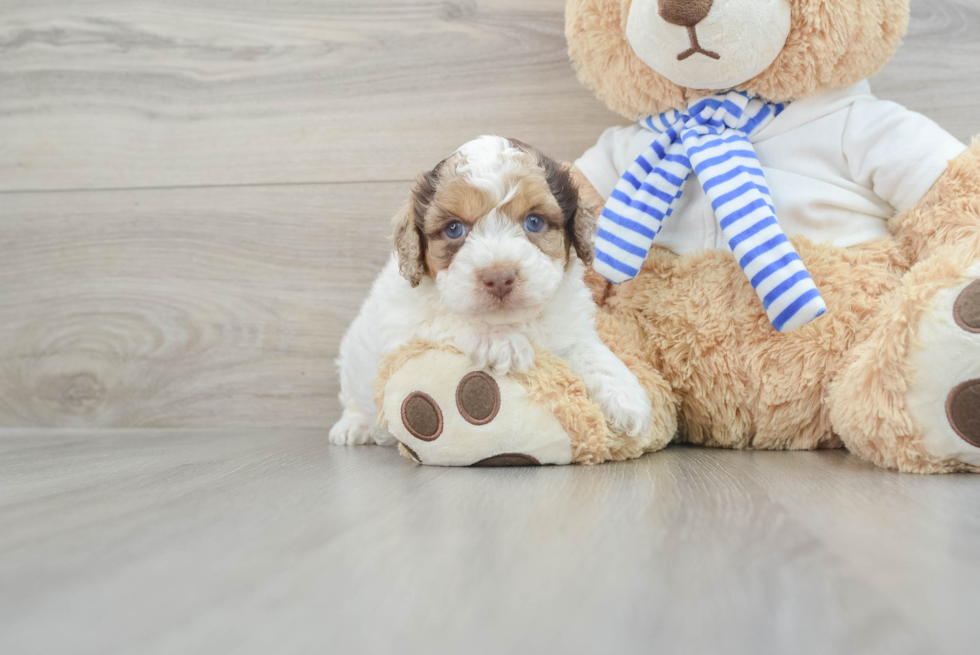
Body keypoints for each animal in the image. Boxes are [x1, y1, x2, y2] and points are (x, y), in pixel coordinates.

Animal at [330, 136, 652, 448]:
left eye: (534, 222)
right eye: (454, 229)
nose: (499, 277)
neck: (512, 319)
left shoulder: (570, 324)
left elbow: (589, 351)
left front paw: (627, 396)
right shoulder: (403, 329)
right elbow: (447, 319)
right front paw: (502, 341)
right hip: (350, 361)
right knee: (353, 401)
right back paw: (353, 427)